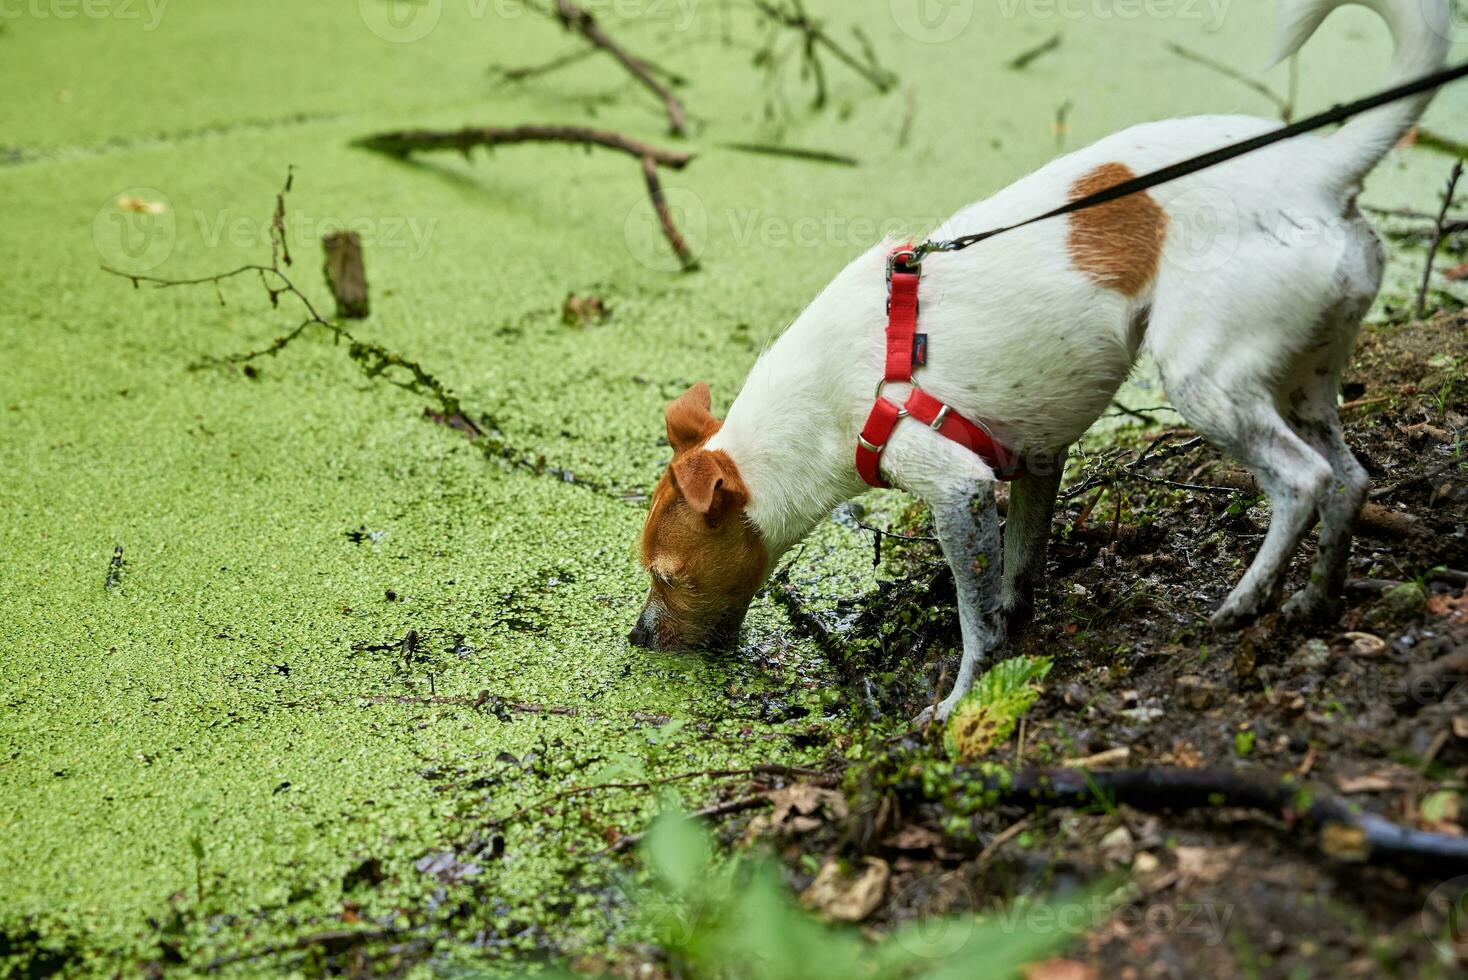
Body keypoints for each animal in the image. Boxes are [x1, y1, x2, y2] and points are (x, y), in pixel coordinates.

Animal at [625, 0, 1450, 718]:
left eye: (667, 576)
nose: (636, 638)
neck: (819, 407)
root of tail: (1318, 169)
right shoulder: (1036, 460)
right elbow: (1015, 574)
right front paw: (1016, 625)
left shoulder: (957, 489)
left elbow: (975, 620)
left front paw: (961, 696)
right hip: (1304, 379)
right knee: (1350, 480)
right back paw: (1315, 599)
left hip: (1206, 381)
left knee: (1303, 482)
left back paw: (1246, 600)